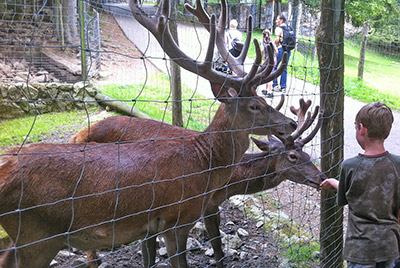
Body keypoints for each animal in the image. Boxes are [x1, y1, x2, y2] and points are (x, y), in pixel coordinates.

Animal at [0, 0, 296, 268]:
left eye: (265, 99)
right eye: (255, 105)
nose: (291, 123)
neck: (203, 163)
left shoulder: (154, 225)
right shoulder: (176, 219)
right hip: (37, 235)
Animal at [72, 99, 324, 268]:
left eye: (307, 155)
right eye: (293, 156)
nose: (321, 178)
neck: (231, 180)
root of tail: (79, 134)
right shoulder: (207, 203)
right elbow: (217, 243)